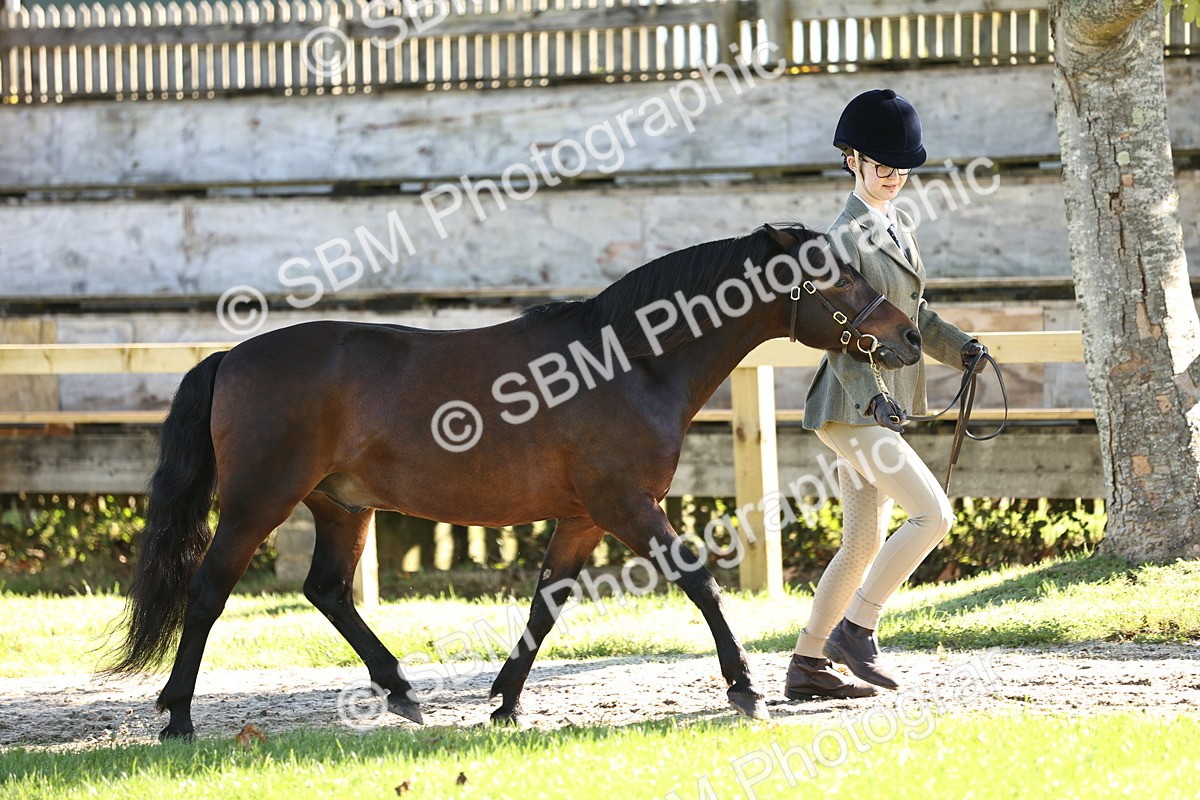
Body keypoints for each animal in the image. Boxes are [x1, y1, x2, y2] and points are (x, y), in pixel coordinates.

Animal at [104, 223, 922, 738]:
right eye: (835, 276)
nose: (910, 336)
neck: (631, 361)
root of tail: (229, 358)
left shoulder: (585, 518)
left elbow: (545, 605)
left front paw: (503, 703)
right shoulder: (627, 507)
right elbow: (699, 580)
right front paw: (745, 687)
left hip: (340, 506)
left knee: (328, 590)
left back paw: (401, 692)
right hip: (257, 503)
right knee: (208, 591)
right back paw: (177, 717)